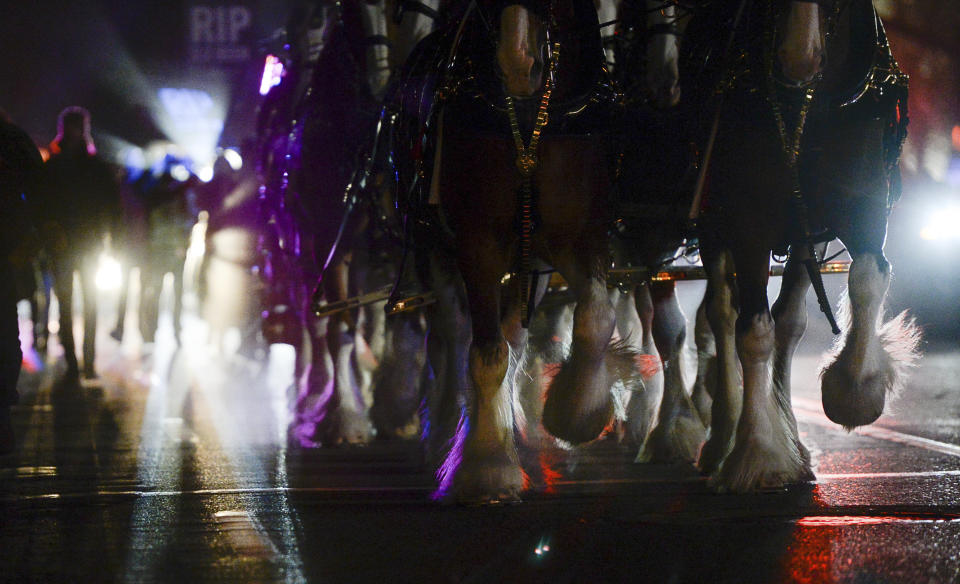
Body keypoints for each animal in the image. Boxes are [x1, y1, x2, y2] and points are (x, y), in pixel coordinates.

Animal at [680, 0, 920, 492]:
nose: (798, 59)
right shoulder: (748, 219)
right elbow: (753, 332)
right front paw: (759, 455)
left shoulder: (863, 206)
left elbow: (867, 280)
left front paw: (854, 393)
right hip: (715, 228)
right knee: (723, 315)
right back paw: (723, 441)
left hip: (805, 236)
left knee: (789, 323)